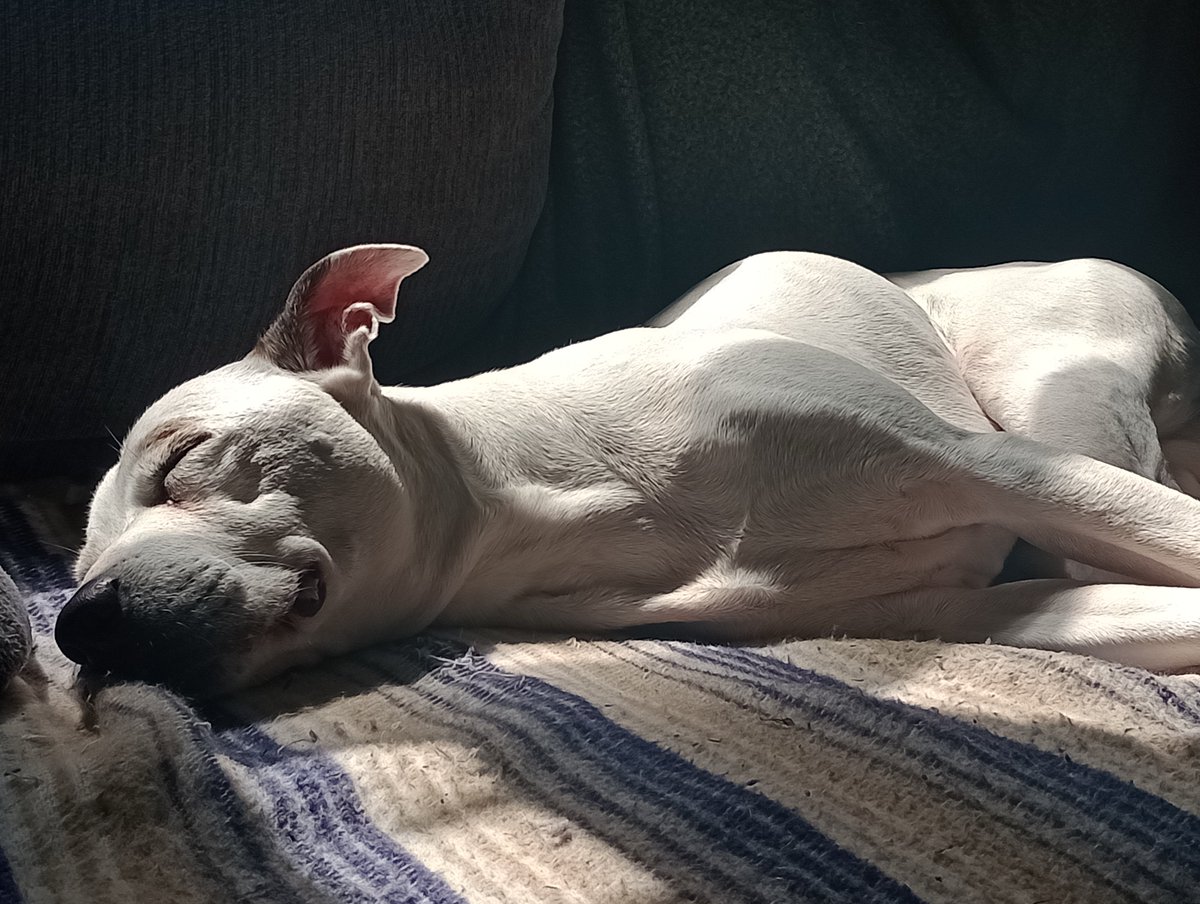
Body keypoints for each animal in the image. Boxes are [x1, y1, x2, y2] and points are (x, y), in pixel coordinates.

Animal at [58, 247, 1200, 691]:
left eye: (182, 459)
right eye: (74, 567)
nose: (77, 625)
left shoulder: (990, 466)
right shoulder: (945, 609)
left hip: (1058, 401)